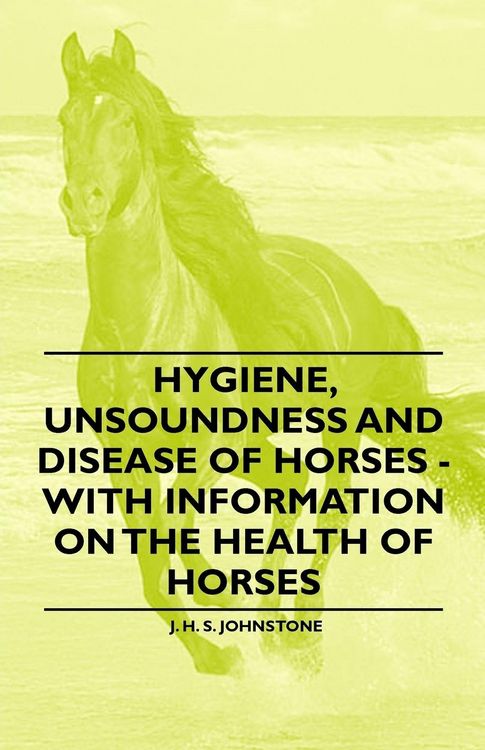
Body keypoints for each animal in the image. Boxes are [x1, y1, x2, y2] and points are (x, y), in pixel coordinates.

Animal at [59, 29, 485, 676]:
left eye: (126, 121)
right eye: (65, 119)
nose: (84, 202)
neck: (145, 323)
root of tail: (368, 294)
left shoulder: (201, 445)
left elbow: (178, 524)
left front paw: (223, 599)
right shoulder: (122, 453)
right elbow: (154, 568)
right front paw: (218, 655)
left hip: (338, 424)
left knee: (332, 509)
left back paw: (297, 632)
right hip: (258, 438)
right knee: (290, 485)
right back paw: (275, 625)